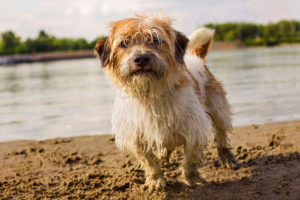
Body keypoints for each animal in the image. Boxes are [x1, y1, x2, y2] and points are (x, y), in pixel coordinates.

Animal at [95, 13, 236, 190]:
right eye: (124, 43)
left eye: (155, 40)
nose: (141, 58)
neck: (151, 95)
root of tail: (195, 56)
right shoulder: (137, 137)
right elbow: (149, 161)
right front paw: (155, 181)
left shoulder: (195, 130)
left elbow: (190, 160)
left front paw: (192, 179)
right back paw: (163, 155)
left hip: (219, 110)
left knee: (221, 134)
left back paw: (227, 158)